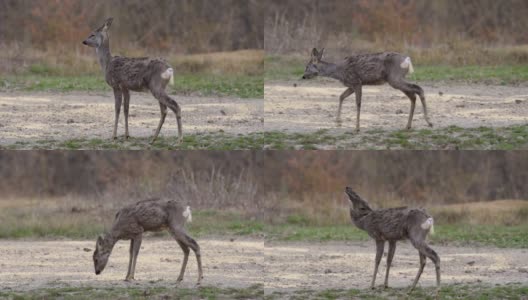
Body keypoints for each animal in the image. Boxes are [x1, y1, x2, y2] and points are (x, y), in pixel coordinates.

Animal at [302, 49, 434, 131]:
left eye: (307, 67)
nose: (303, 76)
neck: (339, 71)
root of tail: (407, 60)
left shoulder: (357, 82)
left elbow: (358, 103)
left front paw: (357, 127)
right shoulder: (351, 85)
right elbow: (341, 96)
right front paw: (338, 120)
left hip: (395, 78)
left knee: (418, 89)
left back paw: (429, 122)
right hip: (396, 79)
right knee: (413, 95)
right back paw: (408, 125)